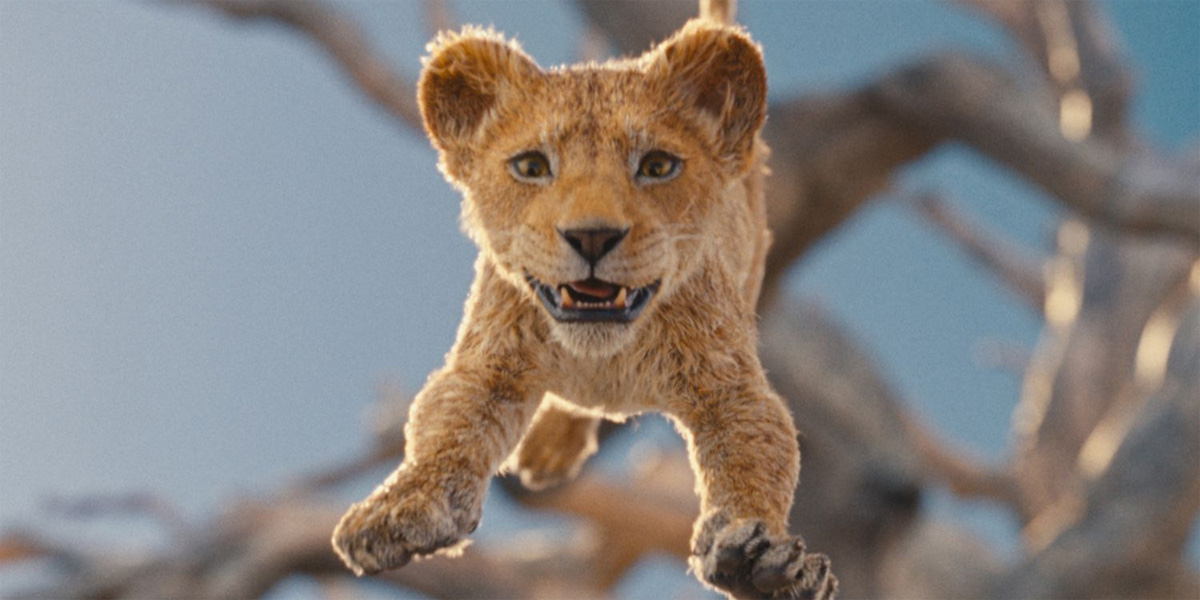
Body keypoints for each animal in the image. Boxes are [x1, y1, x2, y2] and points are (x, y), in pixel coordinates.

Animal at [332, 18, 837, 600]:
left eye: (657, 166)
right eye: (531, 166)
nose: (592, 236)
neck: (602, 357)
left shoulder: (729, 385)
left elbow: (757, 453)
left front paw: (757, 557)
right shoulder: (487, 364)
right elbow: (445, 429)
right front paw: (399, 508)